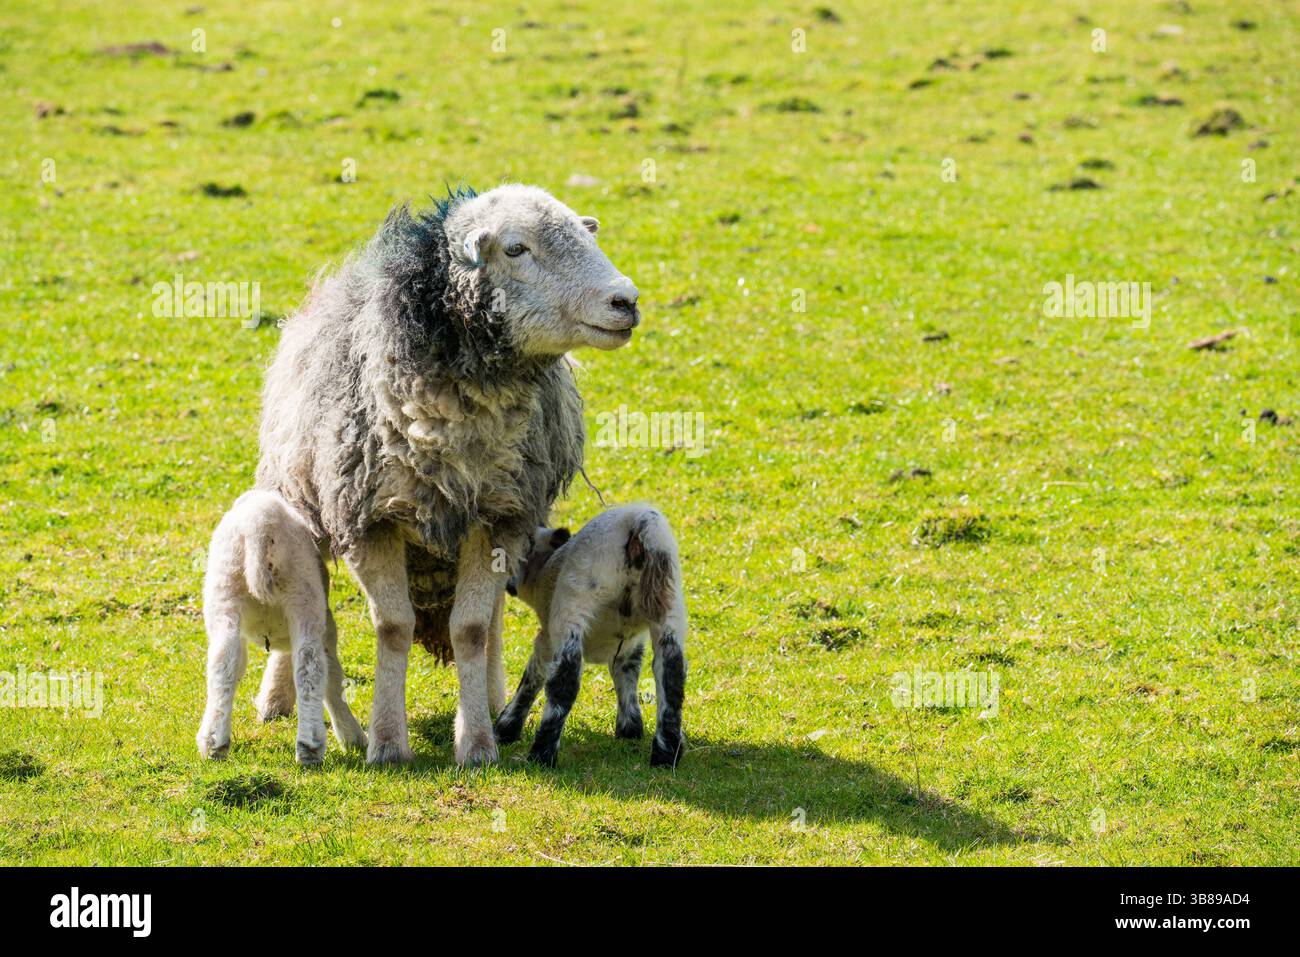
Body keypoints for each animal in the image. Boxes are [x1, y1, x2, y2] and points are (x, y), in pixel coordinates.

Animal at [196, 490, 367, 764]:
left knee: (223, 663)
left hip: (225, 589)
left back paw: (213, 743)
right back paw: (310, 746)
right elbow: (332, 678)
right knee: (310, 665)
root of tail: (260, 525)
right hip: (304, 594)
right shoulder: (328, 628)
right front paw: (352, 738)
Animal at [255, 184, 640, 766]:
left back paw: (491, 692)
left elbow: (473, 628)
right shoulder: (370, 519)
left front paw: (477, 741)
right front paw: (387, 743)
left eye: (583, 233)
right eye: (516, 248)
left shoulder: (500, 514)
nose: (627, 301)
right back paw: (277, 698)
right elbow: (393, 627)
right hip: (302, 501)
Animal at [495, 504, 688, 768]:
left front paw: (507, 728)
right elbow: (626, 679)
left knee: (563, 684)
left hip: (574, 605)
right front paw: (630, 730)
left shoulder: (547, 637)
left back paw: (542, 754)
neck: (544, 571)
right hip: (668, 607)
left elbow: (532, 678)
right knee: (672, 677)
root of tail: (639, 521)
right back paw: (666, 754)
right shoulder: (629, 645)